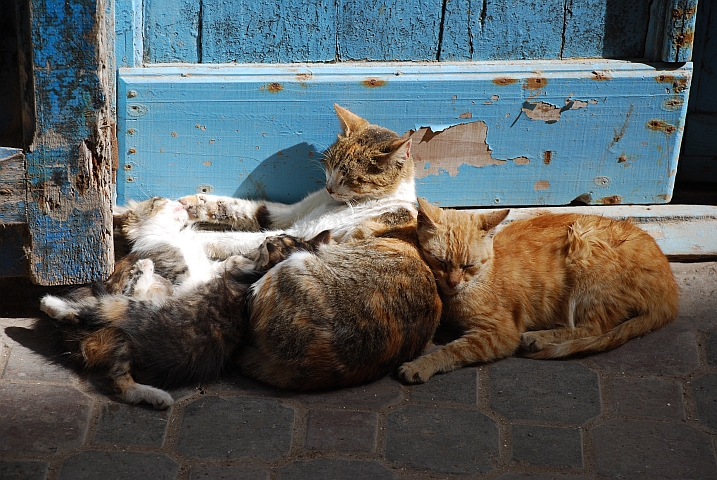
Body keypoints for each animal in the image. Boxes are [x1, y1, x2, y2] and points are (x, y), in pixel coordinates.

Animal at [176, 105, 416, 260]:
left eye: (351, 178)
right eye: (330, 165)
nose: (329, 188)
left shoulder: (302, 234)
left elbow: (236, 239)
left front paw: (189, 238)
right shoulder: (292, 212)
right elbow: (247, 209)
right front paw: (194, 205)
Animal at [398, 197, 676, 384]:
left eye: (468, 265)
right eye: (440, 261)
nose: (453, 282)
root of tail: (670, 290)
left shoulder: (500, 333)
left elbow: (454, 349)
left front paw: (423, 364)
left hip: (586, 258)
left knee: (592, 328)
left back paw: (539, 337)